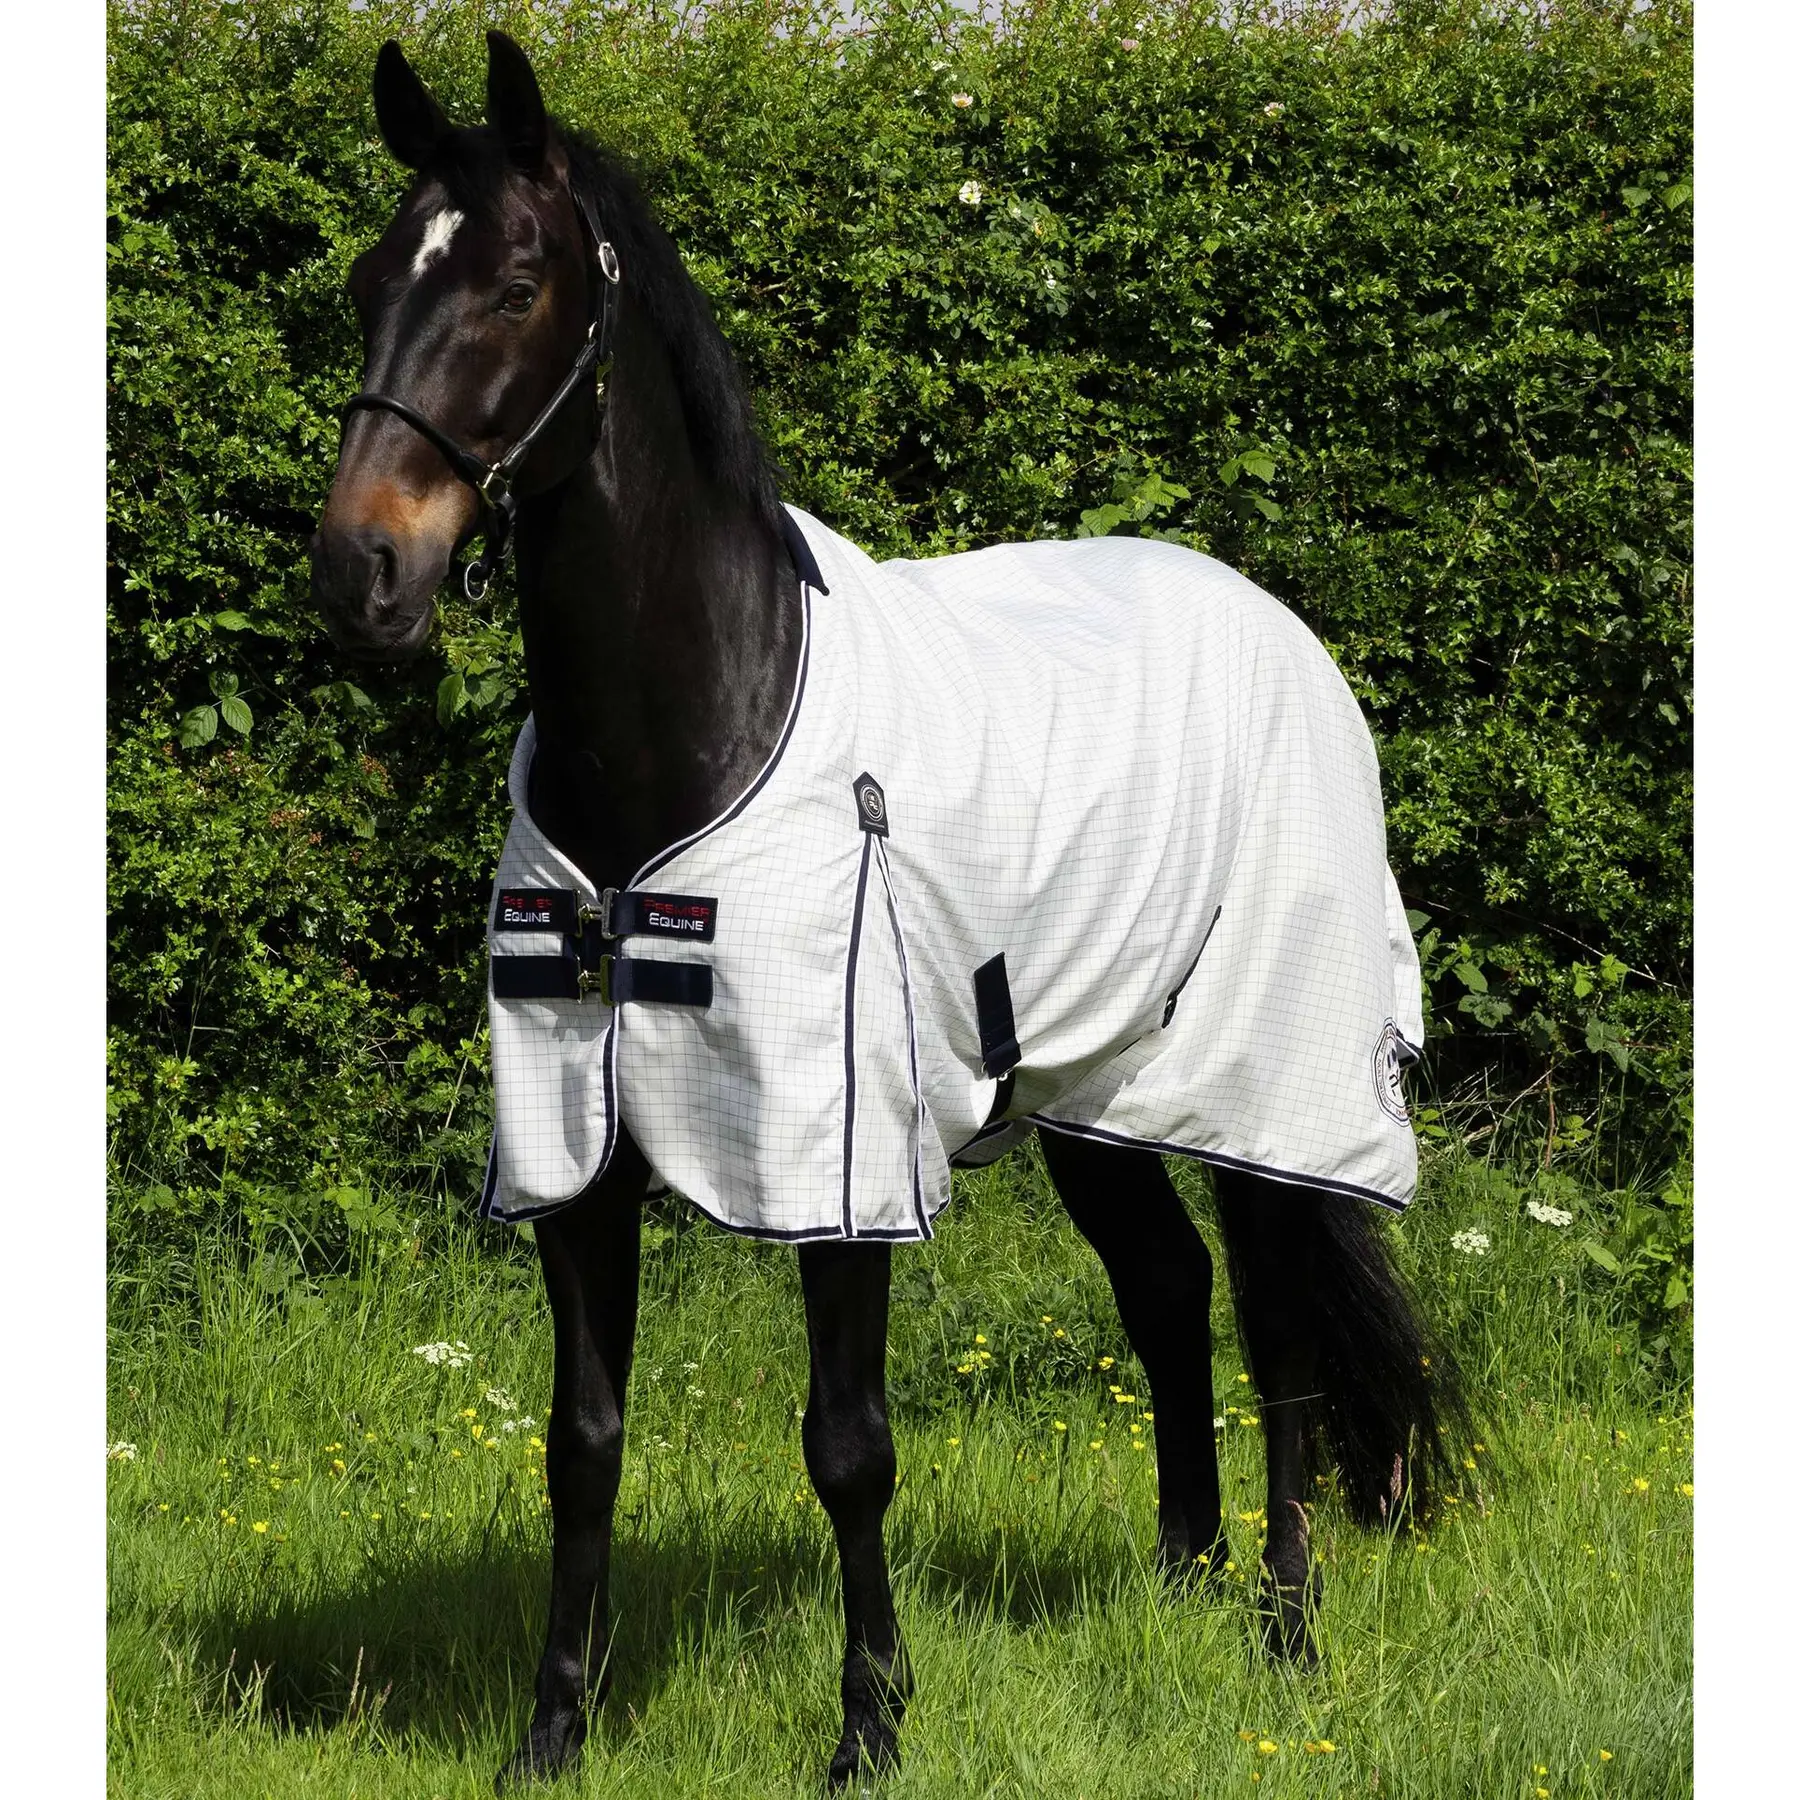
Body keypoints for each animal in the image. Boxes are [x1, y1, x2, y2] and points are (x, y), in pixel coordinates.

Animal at [310, 32, 1469, 1790]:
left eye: (514, 285)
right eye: (373, 282)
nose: (359, 576)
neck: (697, 723)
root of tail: (1278, 627)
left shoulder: (836, 1153)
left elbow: (849, 1446)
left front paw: (867, 1727)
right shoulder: (572, 1156)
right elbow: (583, 1443)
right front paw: (553, 1732)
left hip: (1263, 1090)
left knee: (1276, 1337)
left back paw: (1283, 1636)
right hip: (1091, 1092)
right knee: (1167, 1294)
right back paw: (1181, 1578)